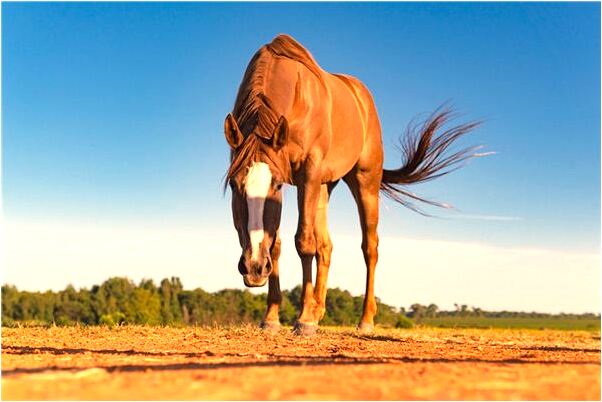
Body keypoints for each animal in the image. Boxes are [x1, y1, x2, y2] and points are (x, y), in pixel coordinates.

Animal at [223, 35, 480, 336]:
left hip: (364, 182)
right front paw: (273, 317)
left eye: (275, 185)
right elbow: (278, 244)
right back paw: (318, 310)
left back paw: (364, 320)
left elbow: (303, 242)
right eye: (234, 185)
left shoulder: (307, 175)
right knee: (326, 246)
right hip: (324, 186)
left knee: (369, 247)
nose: (254, 268)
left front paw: (303, 319)